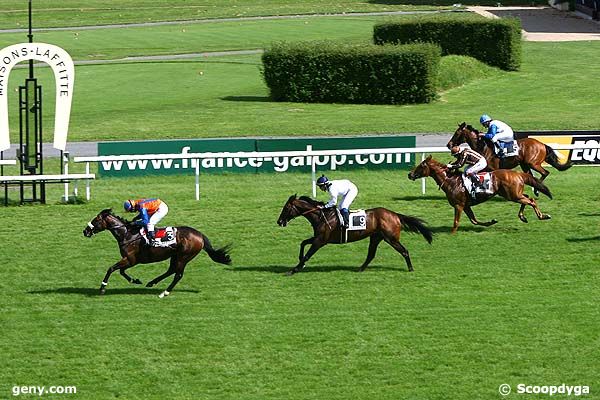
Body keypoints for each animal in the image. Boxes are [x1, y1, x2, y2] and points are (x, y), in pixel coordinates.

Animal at [84, 209, 232, 296]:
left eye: (96, 220)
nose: (85, 231)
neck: (127, 234)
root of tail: (200, 235)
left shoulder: (131, 260)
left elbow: (112, 269)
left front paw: (102, 288)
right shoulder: (130, 260)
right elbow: (121, 271)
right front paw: (135, 280)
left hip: (184, 256)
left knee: (178, 275)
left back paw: (164, 292)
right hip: (175, 256)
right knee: (171, 270)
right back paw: (152, 283)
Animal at [274, 194, 434, 276]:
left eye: (286, 208)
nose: (279, 221)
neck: (322, 216)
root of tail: (395, 215)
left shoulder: (321, 240)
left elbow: (308, 253)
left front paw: (294, 269)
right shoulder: (319, 238)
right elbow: (303, 243)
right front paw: (300, 262)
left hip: (391, 238)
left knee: (404, 251)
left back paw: (411, 268)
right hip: (376, 237)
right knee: (371, 255)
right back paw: (360, 269)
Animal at [408, 155, 552, 233]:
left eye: (421, 165)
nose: (410, 174)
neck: (451, 181)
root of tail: (518, 173)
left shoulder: (459, 205)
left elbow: (456, 222)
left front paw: (451, 235)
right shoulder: (466, 206)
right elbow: (474, 221)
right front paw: (491, 222)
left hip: (512, 195)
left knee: (531, 200)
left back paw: (542, 216)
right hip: (514, 194)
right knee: (527, 198)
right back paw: (523, 216)